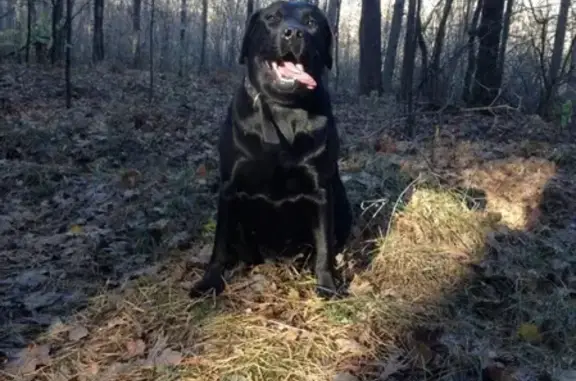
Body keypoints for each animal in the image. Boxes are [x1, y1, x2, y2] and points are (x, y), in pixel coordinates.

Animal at [190, 0, 352, 298]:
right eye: (272, 18)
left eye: (311, 22)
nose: (294, 33)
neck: (283, 109)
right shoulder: (229, 187)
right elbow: (220, 244)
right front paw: (210, 281)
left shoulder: (322, 190)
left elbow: (325, 246)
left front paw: (327, 285)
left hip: (342, 202)